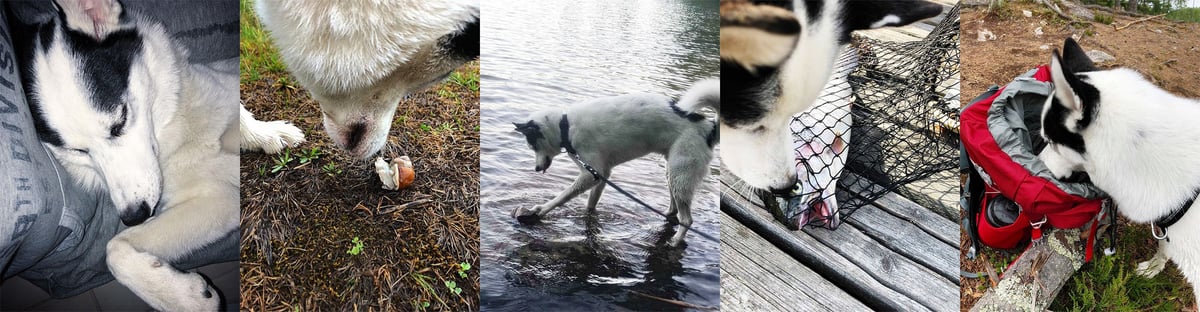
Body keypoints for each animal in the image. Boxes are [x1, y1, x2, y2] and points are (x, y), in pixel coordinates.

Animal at [511, 79, 715, 246]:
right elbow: (591, 203)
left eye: (532, 145)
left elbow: (561, 197)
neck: (565, 127)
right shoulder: (602, 174)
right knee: (675, 208)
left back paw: (675, 241)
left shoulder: (590, 175)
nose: (536, 168)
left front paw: (541, 210)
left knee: (687, 220)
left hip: (681, 174)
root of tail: (708, 127)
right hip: (673, 172)